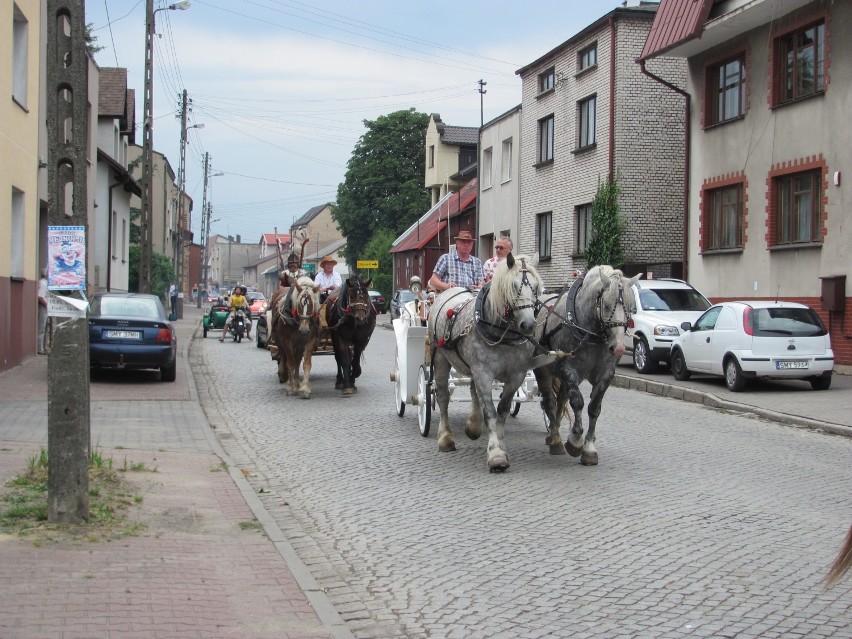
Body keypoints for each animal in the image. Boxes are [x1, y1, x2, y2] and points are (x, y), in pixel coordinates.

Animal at [430, 252, 556, 472]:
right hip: (440, 359)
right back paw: (445, 438)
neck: (502, 332)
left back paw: (473, 426)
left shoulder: (516, 375)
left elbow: (502, 410)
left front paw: (500, 445)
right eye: (513, 286)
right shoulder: (483, 372)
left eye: (537, 287)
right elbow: (490, 412)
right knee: (443, 396)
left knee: (473, 391)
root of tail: (450, 290)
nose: (528, 325)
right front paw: (496, 455)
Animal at [532, 264, 640, 464]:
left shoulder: (606, 374)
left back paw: (553, 432)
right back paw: (555, 439)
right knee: (550, 401)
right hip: (543, 370)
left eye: (631, 307)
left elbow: (594, 408)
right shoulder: (569, 369)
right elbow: (578, 402)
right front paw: (575, 440)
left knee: (560, 401)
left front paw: (589, 447)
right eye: (607, 305)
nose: (619, 347)